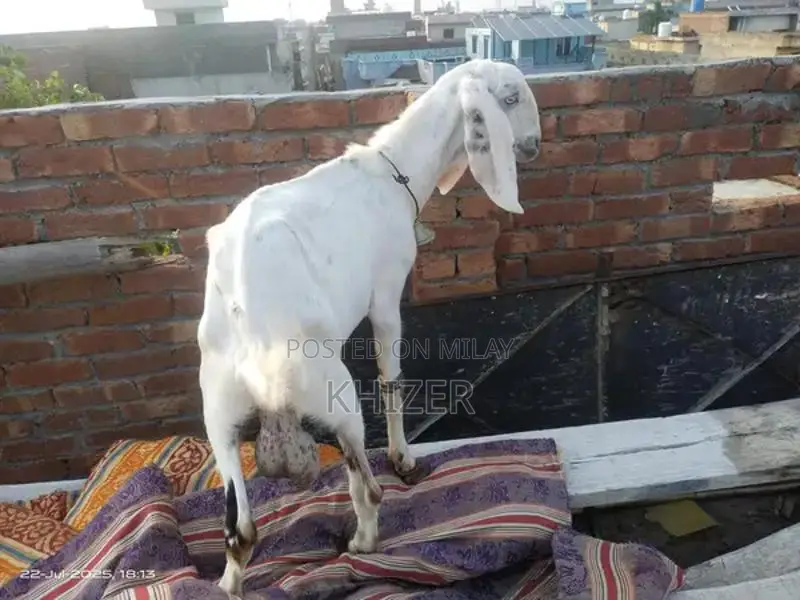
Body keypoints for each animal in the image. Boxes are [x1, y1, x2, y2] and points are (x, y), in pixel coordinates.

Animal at [197, 58, 542, 597]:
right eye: (510, 97)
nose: (533, 145)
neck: (392, 170)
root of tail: (261, 366)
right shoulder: (385, 296)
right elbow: (391, 379)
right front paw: (404, 456)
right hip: (337, 401)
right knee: (370, 487)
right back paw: (364, 541)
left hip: (219, 416)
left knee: (242, 530)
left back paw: (230, 581)